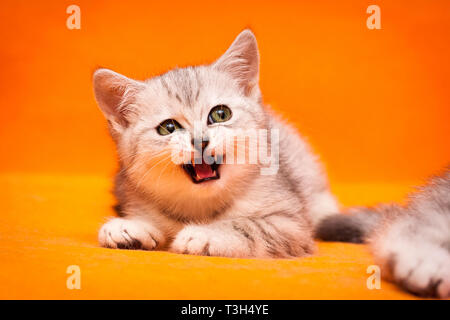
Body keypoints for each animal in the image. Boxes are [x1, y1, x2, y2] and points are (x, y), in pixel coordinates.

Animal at [92, 30, 338, 258]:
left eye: (221, 114)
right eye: (168, 128)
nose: (200, 141)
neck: (202, 207)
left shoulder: (292, 225)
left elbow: (249, 225)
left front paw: (205, 234)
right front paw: (127, 227)